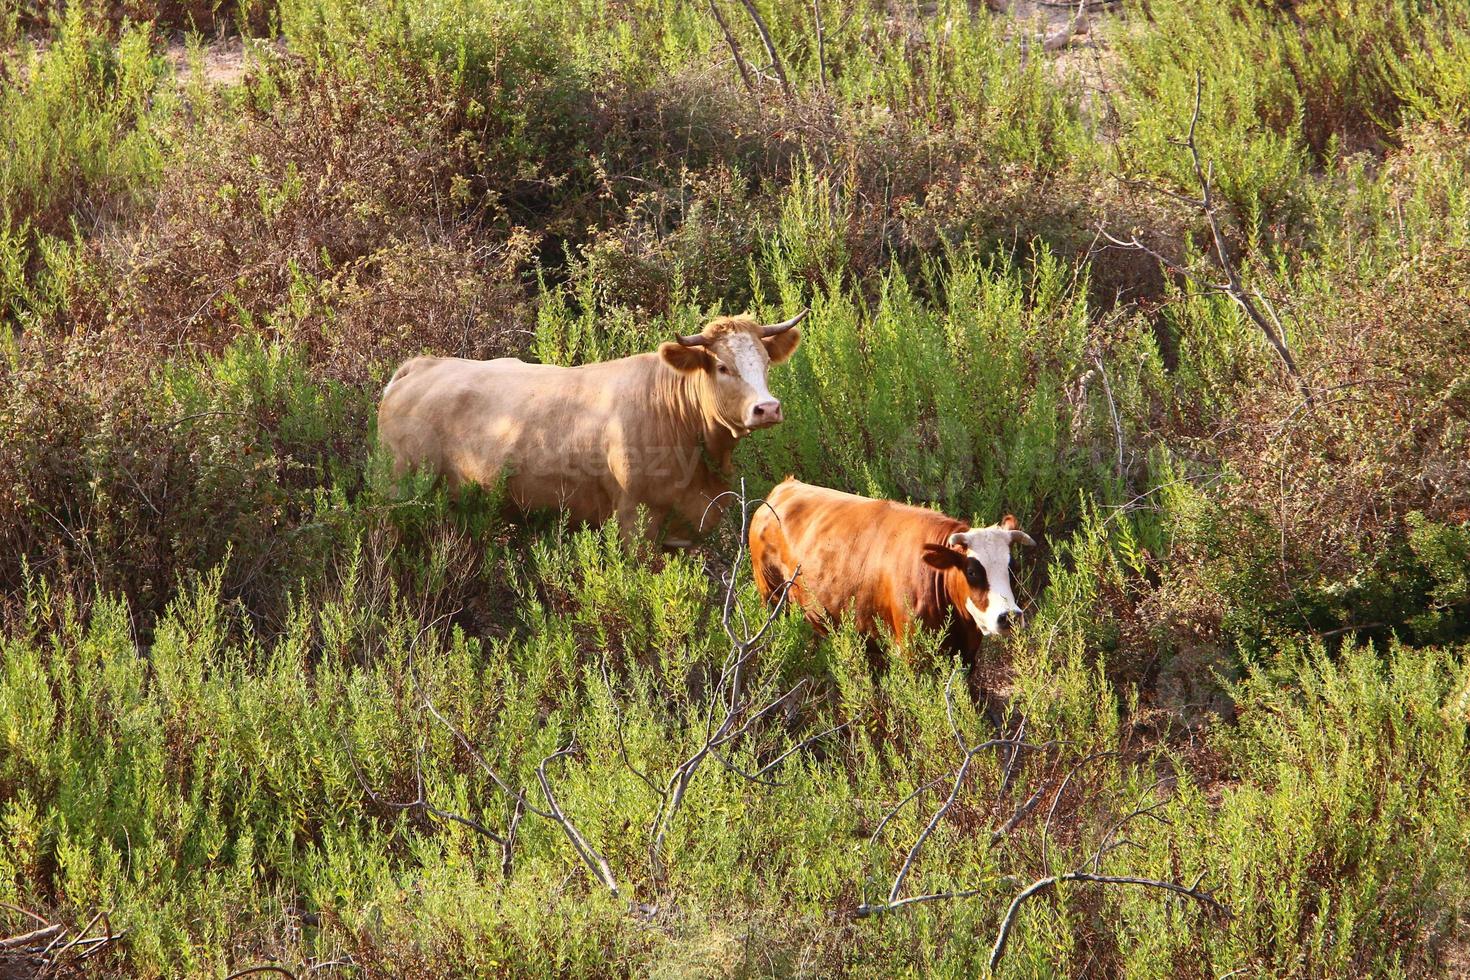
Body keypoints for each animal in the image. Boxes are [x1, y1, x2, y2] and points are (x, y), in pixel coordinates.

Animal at [376, 312, 805, 540]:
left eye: (765, 362)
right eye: (722, 366)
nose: (767, 408)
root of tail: (422, 364)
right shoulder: (634, 519)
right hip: (401, 487)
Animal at [746, 476, 1034, 655]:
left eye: (1012, 568)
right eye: (972, 571)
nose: (1009, 617)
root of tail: (784, 487)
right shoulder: (910, 652)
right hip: (771, 596)